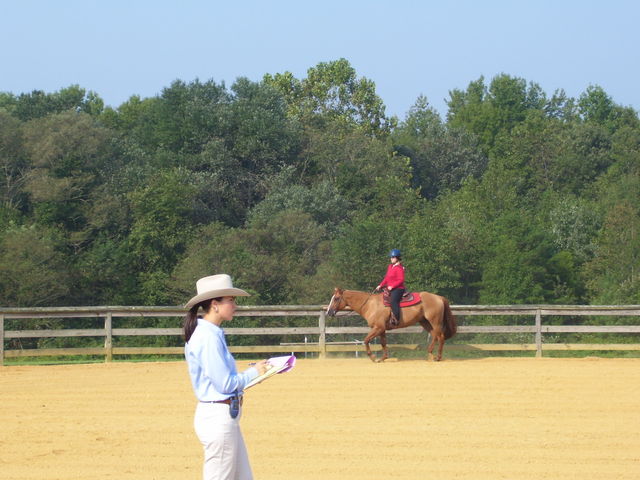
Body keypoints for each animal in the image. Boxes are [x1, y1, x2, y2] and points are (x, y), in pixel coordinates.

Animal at [328, 286, 458, 362]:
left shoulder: (378, 328)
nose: (329, 312)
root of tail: (439, 297)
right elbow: (383, 342)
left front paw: (373, 357)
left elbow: (366, 340)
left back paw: (438, 357)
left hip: (435, 321)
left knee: (440, 337)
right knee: (435, 335)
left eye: (336, 298)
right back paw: (430, 354)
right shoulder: (381, 329)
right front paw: (383, 358)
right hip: (425, 322)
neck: (370, 305)